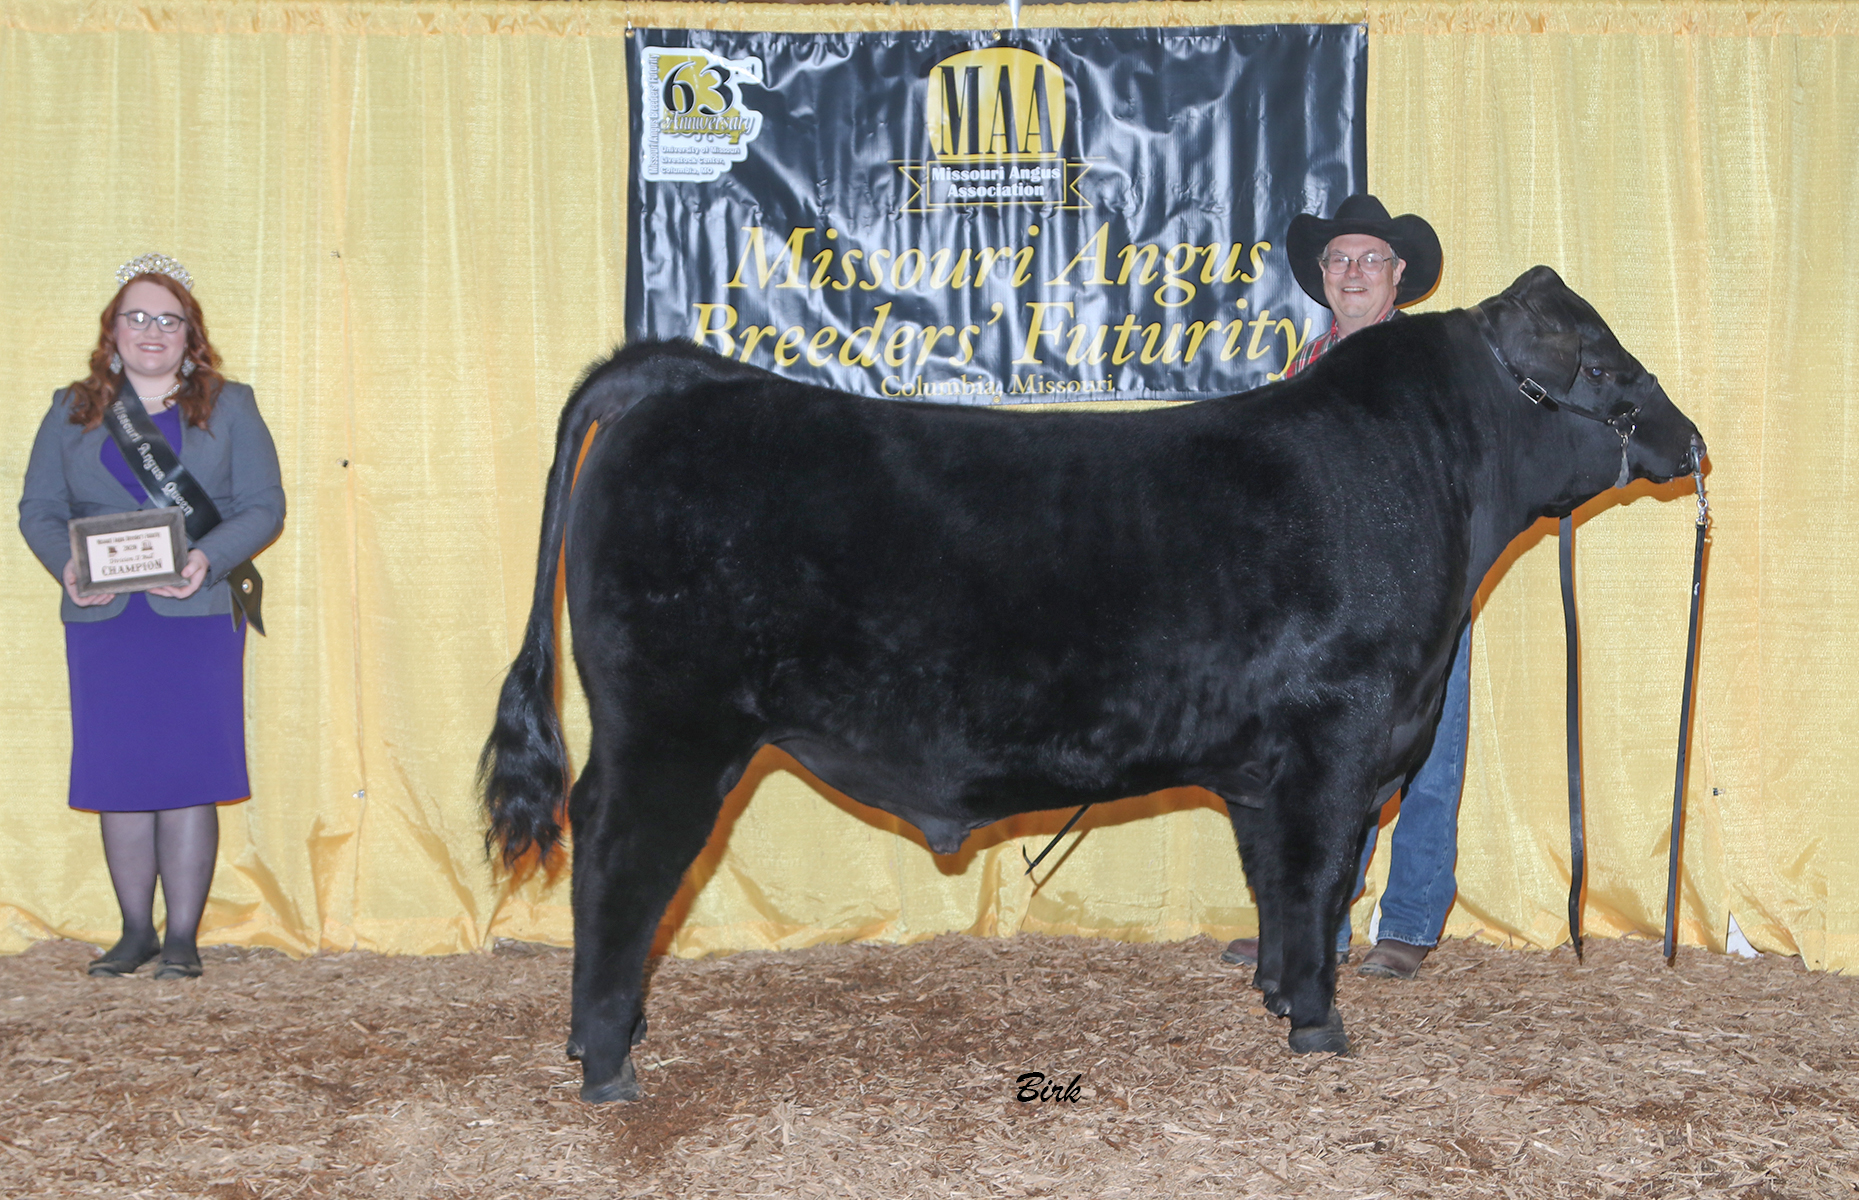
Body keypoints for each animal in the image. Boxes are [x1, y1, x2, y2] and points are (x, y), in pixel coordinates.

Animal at [482, 266, 1705, 1103]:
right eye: (1602, 365)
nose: (1689, 438)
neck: (1422, 478)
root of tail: (688, 379)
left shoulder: (1266, 766)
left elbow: (1274, 883)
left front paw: (1274, 993)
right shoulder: (1339, 740)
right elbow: (1317, 880)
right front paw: (1318, 1026)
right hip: (673, 728)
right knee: (619, 859)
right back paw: (607, 1063)